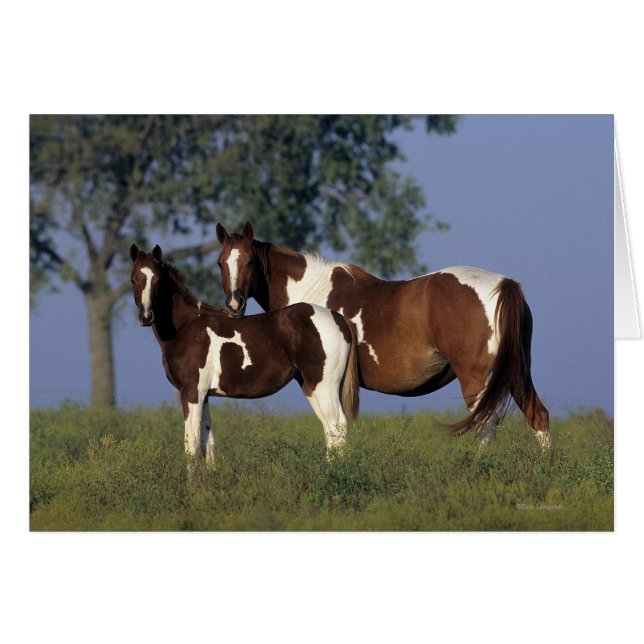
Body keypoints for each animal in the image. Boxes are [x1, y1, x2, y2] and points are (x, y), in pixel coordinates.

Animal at [129, 243, 359, 463]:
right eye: (133, 280)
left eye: (158, 280)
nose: (146, 317)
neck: (186, 327)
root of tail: (339, 319)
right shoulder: (204, 395)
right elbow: (207, 443)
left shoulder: (191, 392)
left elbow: (191, 445)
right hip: (311, 386)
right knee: (329, 430)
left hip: (324, 386)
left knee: (337, 425)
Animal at [214, 221, 551, 450]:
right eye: (220, 263)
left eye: (250, 261)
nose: (234, 305)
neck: (309, 295)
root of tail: (504, 285)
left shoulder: (318, 380)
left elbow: (333, 430)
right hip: (515, 373)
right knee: (538, 416)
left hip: (478, 380)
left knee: (487, 426)